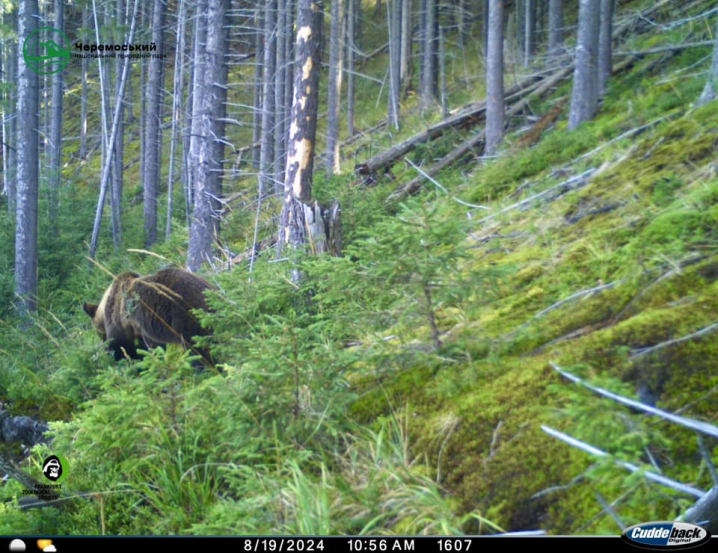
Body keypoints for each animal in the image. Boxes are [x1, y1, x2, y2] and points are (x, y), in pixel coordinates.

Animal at [82, 266, 215, 362]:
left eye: (99, 333)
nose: (103, 341)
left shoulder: (119, 323)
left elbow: (120, 346)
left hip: (184, 315)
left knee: (197, 344)